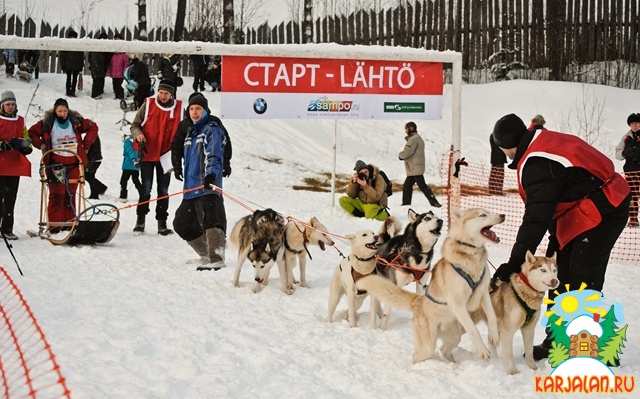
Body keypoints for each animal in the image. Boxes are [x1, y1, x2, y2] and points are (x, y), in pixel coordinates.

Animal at [360, 208, 504, 364]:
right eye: (483, 215)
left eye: (488, 212)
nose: (503, 215)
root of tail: (418, 301)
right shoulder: (457, 304)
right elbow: (473, 329)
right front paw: (483, 350)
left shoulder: (483, 293)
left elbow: (492, 315)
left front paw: (494, 336)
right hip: (427, 346)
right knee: (416, 355)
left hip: (454, 335)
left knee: (444, 348)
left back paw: (451, 361)